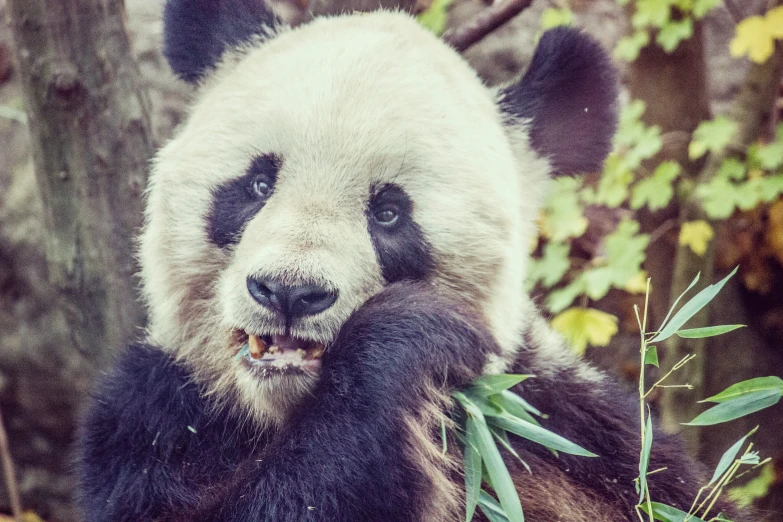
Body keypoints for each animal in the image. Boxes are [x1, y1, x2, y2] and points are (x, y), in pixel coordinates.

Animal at [76, 1, 744, 520]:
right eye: (258, 184)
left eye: (390, 213)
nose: (289, 291)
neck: (278, 411)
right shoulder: (153, 421)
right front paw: (408, 333)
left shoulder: (576, 434)